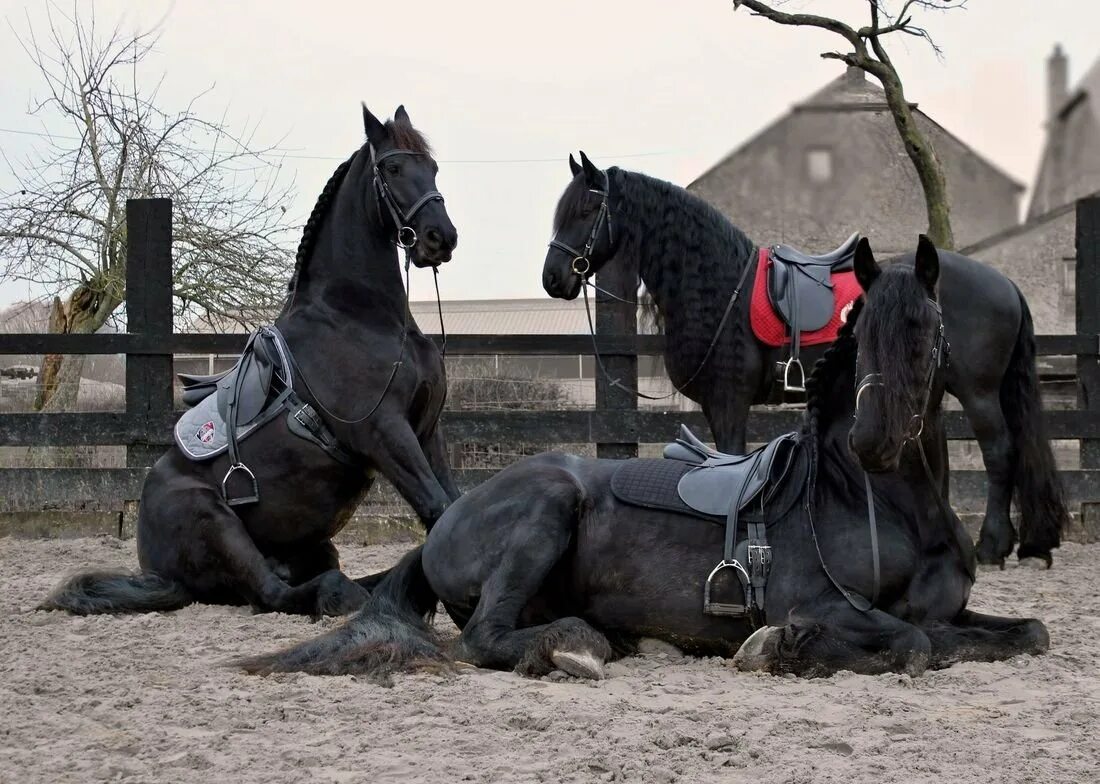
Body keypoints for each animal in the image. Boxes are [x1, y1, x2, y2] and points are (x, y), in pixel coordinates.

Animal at [236, 235, 1042, 681]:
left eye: (927, 328)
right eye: (860, 327)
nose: (874, 438)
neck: (880, 501)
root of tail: (447, 522)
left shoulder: (956, 610)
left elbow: (1022, 633)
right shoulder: (820, 601)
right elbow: (911, 642)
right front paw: (777, 647)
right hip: (546, 507)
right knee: (483, 636)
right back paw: (572, 649)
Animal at [541, 153, 1064, 567]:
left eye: (586, 209)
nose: (552, 277)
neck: (718, 285)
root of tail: (1004, 283)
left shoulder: (728, 403)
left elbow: (731, 463)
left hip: (978, 391)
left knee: (1000, 453)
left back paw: (992, 545)